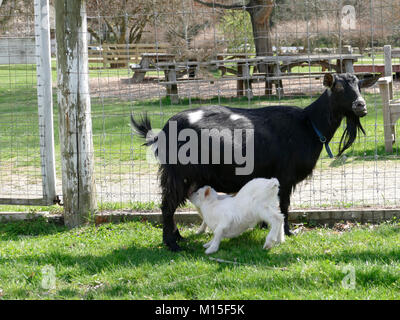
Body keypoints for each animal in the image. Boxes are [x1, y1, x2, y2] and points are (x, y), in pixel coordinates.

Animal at [131, 74, 378, 251]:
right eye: (338, 87)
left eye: (360, 85)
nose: (361, 106)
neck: (308, 125)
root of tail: (162, 131)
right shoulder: (285, 176)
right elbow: (284, 205)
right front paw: (287, 232)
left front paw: (264, 227)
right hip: (179, 173)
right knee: (167, 206)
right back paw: (172, 244)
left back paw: (178, 237)